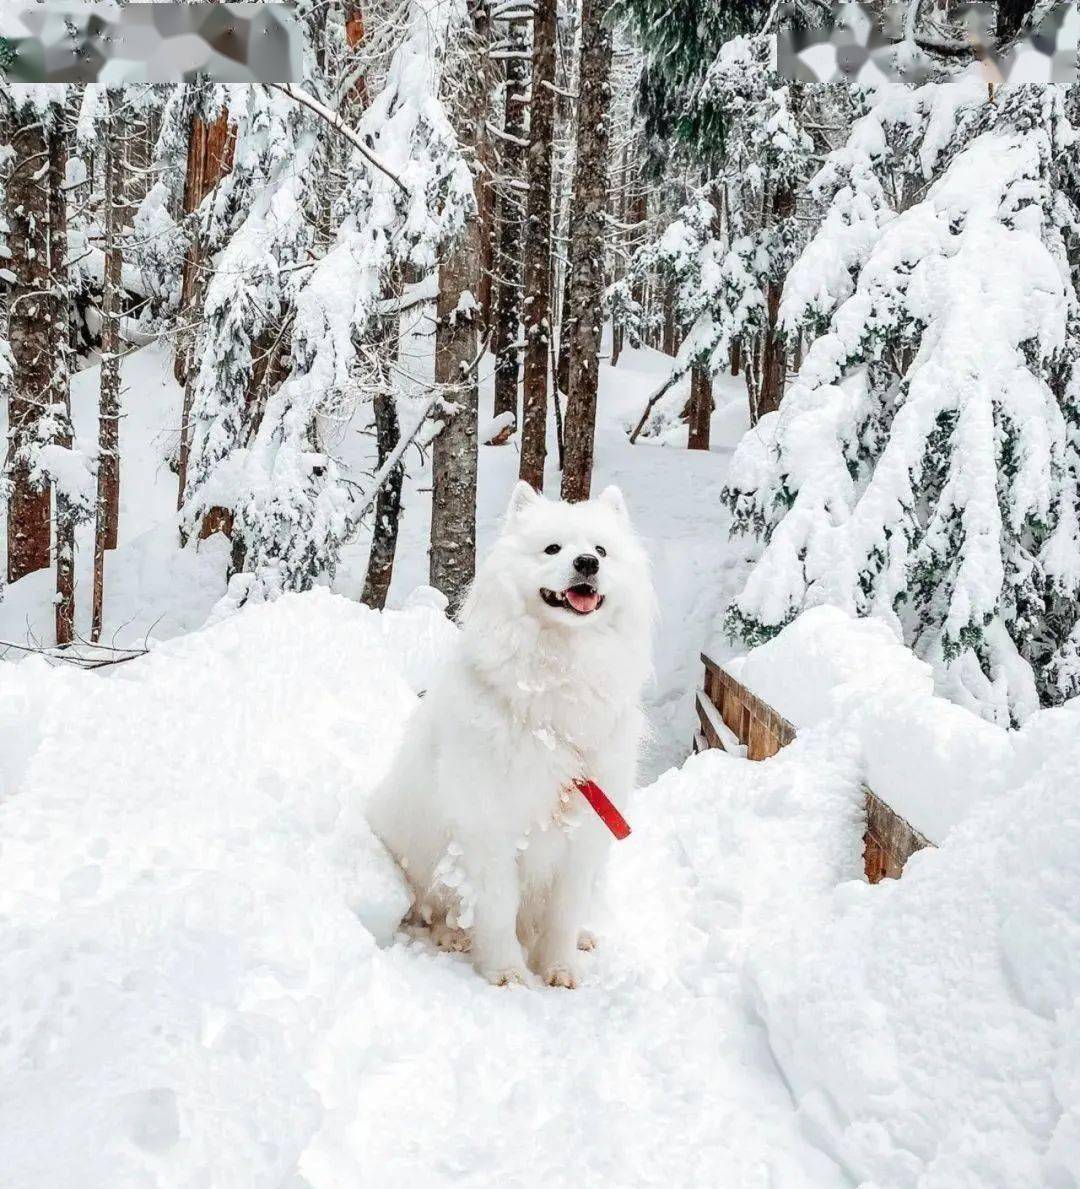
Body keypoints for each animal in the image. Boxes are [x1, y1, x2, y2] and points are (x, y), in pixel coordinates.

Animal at [366, 477, 651, 989]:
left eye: (602, 549)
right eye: (553, 548)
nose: (587, 563)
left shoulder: (583, 836)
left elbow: (563, 915)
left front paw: (561, 969)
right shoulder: (490, 829)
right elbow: (497, 911)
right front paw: (506, 975)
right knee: (434, 911)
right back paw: (454, 937)